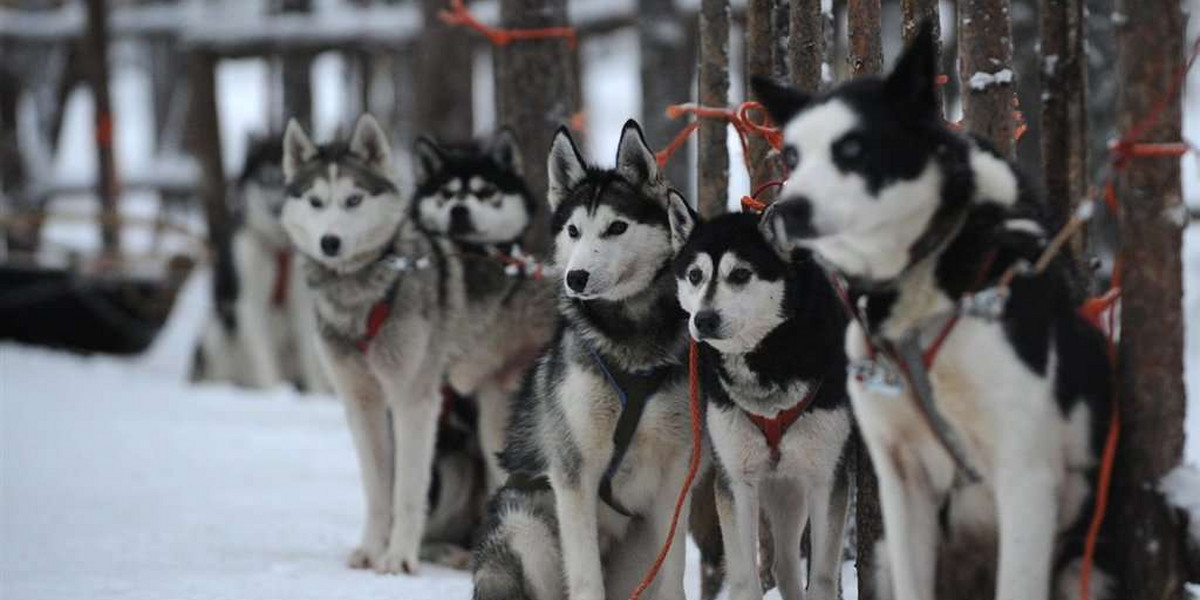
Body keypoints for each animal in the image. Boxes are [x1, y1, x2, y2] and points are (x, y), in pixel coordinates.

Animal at [195, 133, 328, 391]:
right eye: (266, 179)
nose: (278, 207)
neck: (278, 249)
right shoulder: (248, 301)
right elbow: (263, 355)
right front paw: (274, 392)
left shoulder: (301, 302)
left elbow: (309, 356)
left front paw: (315, 394)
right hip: (217, 331)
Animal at [283, 114, 554, 573]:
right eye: (316, 202)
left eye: (353, 199)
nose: (330, 242)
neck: (366, 293)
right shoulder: (362, 402)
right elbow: (378, 489)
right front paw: (371, 550)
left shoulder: (414, 401)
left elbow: (407, 491)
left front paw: (398, 559)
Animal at [470, 120, 696, 600]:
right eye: (573, 231)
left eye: (616, 227)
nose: (576, 277)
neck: (630, 342)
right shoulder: (574, 473)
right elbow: (586, 577)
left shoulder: (674, 478)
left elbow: (673, 574)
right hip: (526, 523)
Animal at [667, 207, 854, 600]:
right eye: (695, 275)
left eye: (740, 274)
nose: (703, 319)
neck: (768, 358)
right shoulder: (736, 481)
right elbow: (743, 578)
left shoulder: (826, 477)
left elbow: (823, 577)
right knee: (781, 564)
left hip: (794, 486)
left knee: (786, 564)